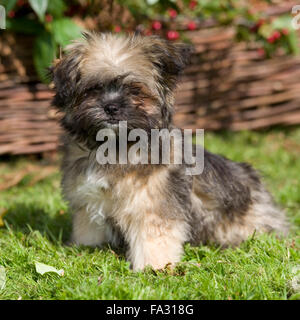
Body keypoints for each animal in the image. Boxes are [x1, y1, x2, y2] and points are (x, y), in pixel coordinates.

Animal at [50, 32, 290, 270]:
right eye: (93, 89)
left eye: (135, 90)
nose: (111, 107)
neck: (115, 148)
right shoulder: (87, 202)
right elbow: (88, 229)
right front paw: (84, 249)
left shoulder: (153, 205)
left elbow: (154, 237)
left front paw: (154, 267)